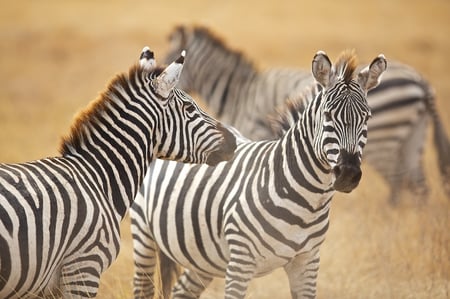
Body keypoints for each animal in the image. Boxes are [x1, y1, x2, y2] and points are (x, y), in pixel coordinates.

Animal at [130, 50, 386, 298]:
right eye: (328, 116)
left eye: (367, 118)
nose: (348, 174)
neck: (309, 203)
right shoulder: (241, 261)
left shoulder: (308, 261)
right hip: (143, 233)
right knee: (143, 287)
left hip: (204, 256)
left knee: (182, 291)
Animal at [165, 25, 450, 205]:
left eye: (169, 63)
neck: (241, 92)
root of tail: (423, 82)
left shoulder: (255, 131)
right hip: (414, 137)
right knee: (420, 186)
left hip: (385, 144)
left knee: (397, 181)